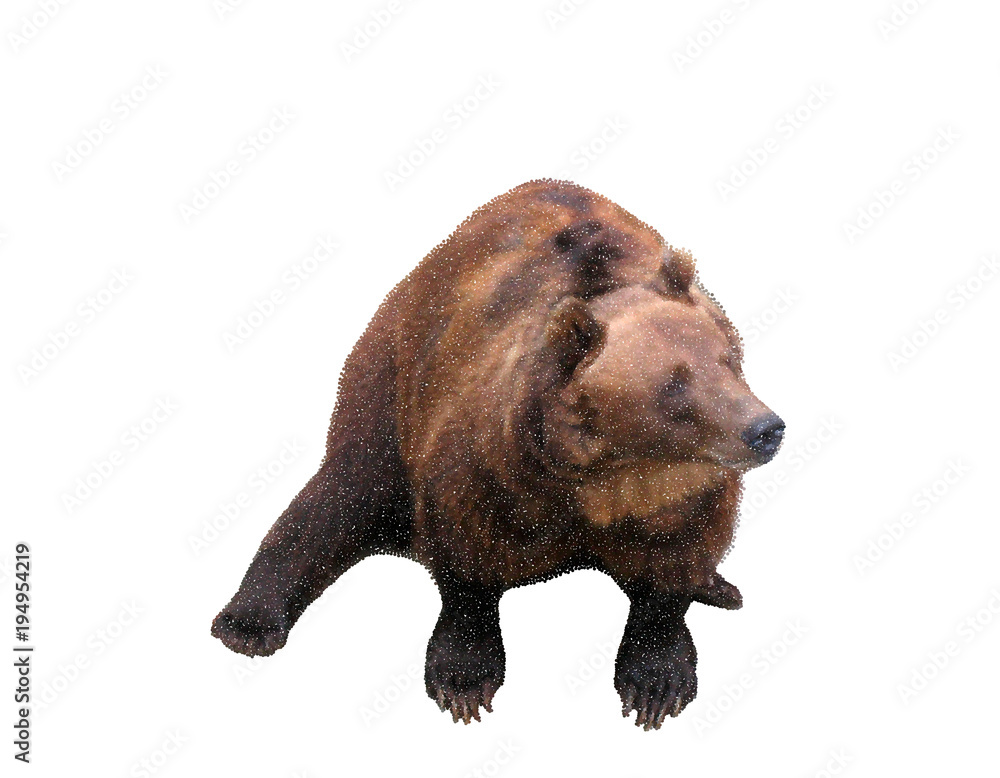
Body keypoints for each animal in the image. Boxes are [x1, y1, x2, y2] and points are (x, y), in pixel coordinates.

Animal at [211, 179, 784, 730]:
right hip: (385, 383)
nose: (766, 429)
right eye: (675, 386)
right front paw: (464, 679)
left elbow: (674, 563)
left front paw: (655, 685)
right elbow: (467, 559)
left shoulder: (682, 490)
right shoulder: (489, 457)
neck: (604, 479)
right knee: (340, 494)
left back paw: (721, 588)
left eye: (728, 359)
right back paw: (247, 623)